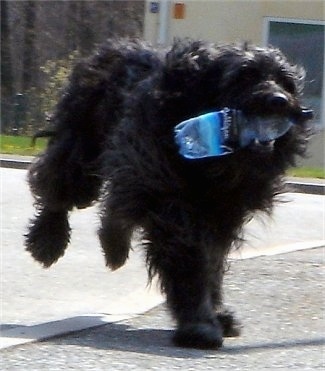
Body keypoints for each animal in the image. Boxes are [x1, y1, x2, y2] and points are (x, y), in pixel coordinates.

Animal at [25, 39, 312, 350]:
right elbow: (190, 257)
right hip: (82, 144)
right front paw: (199, 322)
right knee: (59, 187)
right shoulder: (169, 199)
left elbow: (213, 261)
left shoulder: (222, 213)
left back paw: (113, 246)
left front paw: (216, 312)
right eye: (244, 76)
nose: (278, 100)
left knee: (117, 205)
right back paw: (47, 241)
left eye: (285, 82)